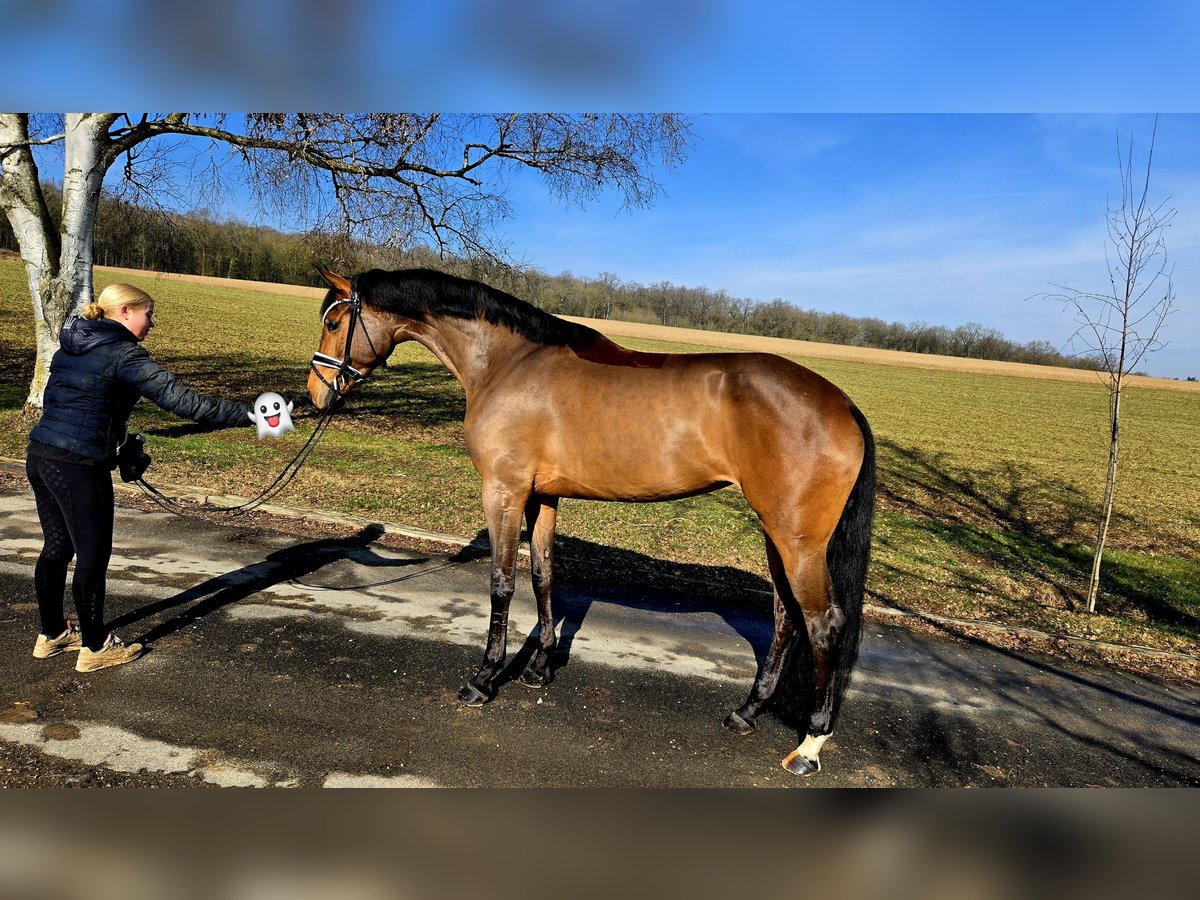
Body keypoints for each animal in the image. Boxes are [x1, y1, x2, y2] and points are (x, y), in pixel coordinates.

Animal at [304, 266, 878, 777]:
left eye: (335, 321)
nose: (315, 393)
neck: (509, 363)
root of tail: (845, 404)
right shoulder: (542, 496)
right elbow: (543, 575)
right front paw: (539, 669)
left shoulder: (503, 492)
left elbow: (502, 583)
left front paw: (485, 678)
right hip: (774, 533)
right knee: (785, 619)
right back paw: (746, 712)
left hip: (797, 540)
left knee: (823, 623)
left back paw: (809, 745)